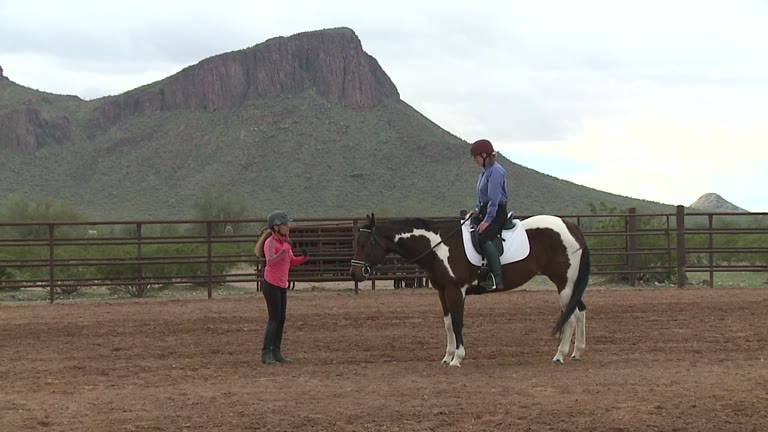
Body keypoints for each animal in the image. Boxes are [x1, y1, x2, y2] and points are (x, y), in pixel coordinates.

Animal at [349, 213, 590, 367]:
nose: (354, 274)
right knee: (580, 311)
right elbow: (448, 324)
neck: (438, 246)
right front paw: (447, 357)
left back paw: (559, 355)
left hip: (564, 283)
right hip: (570, 285)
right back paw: (577, 352)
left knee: (571, 316)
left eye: (364, 244)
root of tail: (571, 226)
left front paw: (458, 358)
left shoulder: (456, 291)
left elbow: (458, 322)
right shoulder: (442, 291)